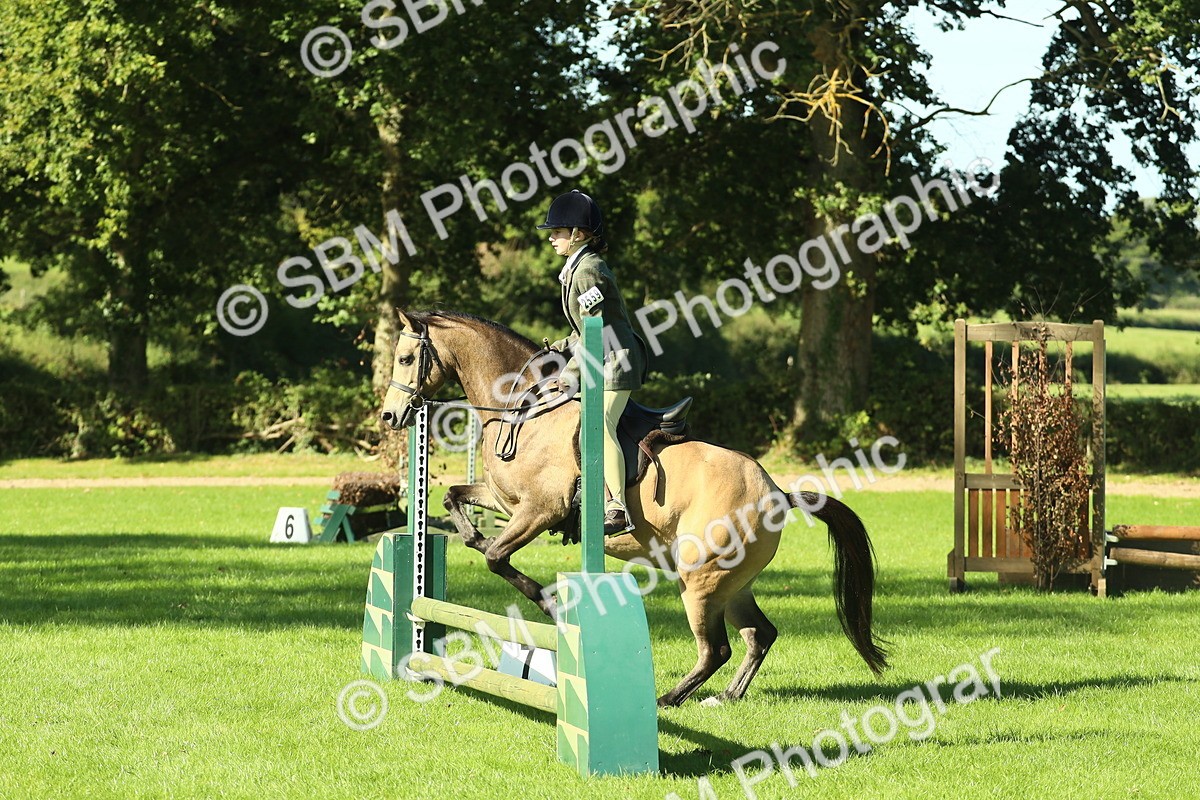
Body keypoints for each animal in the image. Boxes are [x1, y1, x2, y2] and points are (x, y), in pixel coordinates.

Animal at [379, 309, 888, 706]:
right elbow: (456, 501)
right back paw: (725, 697)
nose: (389, 416)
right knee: (758, 634)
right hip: (732, 584)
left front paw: (552, 603)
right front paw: (473, 535)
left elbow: (496, 557)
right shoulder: (507, 501)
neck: (521, 409)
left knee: (716, 649)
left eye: (405, 358)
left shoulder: (540, 510)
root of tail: (776, 492)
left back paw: (668, 699)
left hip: (700, 580)